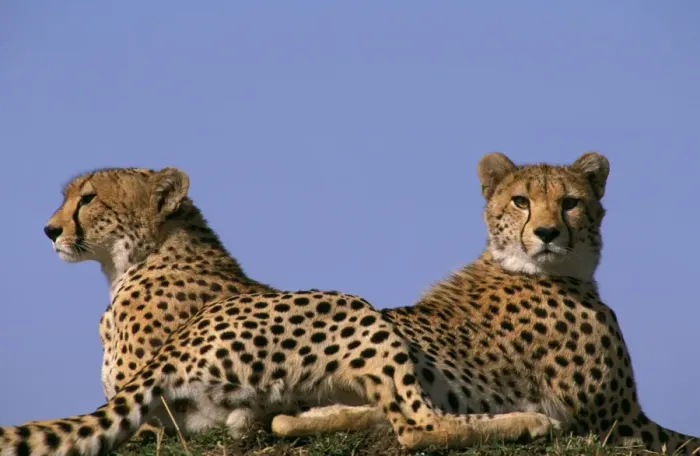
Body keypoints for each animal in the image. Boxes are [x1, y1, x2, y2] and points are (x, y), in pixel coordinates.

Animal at [0, 166, 561, 456]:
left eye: (88, 198)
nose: (50, 230)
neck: (147, 253)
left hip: (348, 305)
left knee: (418, 425)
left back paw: (530, 421)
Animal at [270, 152, 700, 455]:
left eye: (570, 203)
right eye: (521, 201)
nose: (547, 233)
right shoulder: (621, 422)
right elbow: (688, 441)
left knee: (287, 422)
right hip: (356, 309)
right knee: (415, 427)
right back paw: (530, 421)